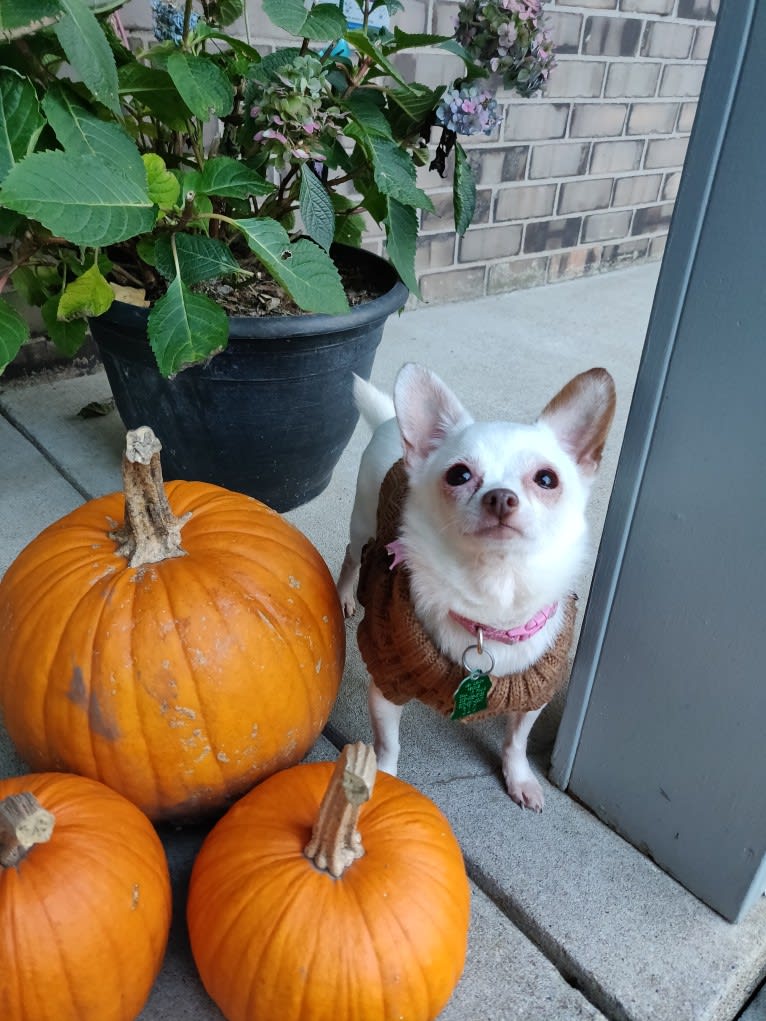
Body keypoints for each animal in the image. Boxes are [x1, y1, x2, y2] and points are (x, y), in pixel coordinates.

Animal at [339, 363, 616, 808]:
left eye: (547, 479)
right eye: (459, 475)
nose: (500, 496)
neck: (494, 599)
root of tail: (388, 421)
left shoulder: (535, 696)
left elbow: (516, 742)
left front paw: (519, 778)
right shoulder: (387, 684)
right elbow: (388, 745)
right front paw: (384, 782)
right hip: (363, 525)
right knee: (352, 557)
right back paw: (345, 594)